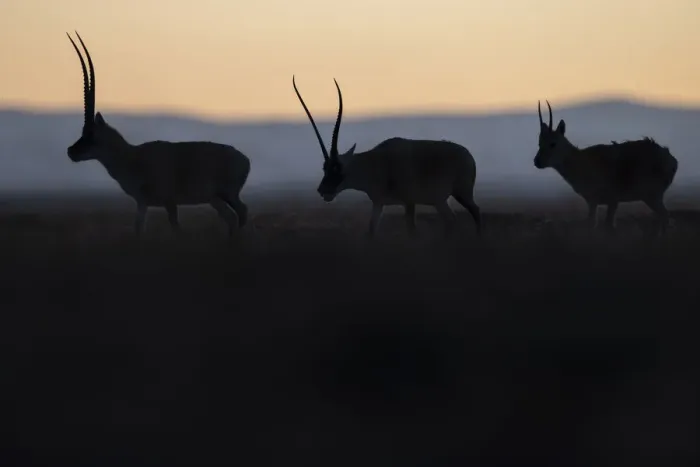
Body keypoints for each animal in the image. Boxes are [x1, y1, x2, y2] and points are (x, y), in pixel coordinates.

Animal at [65, 32, 250, 237]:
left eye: (91, 134)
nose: (71, 151)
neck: (131, 157)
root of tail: (245, 160)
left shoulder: (169, 202)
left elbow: (175, 228)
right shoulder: (143, 203)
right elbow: (138, 228)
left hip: (226, 195)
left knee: (241, 213)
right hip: (216, 199)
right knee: (233, 217)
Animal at [292, 76, 481, 238]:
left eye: (338, 167)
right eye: (325, 168)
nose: (323, 190)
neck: (375, 163)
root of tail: (468, 155)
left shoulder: (409, 202)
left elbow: (411, 230)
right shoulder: (378, 203)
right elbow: (371, 230)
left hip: (461, 194)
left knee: (475, 212)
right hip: (440, 201)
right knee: (451, 221)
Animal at [534, 100, 678, 234]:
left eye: (553, 143)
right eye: (539, 143)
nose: (537, 162)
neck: (580, 160)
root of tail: (671, 159)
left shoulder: (612, 200)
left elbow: (606, 226)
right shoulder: (593, 202)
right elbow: (593, 223)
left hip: (652, 196)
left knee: (665, 216)